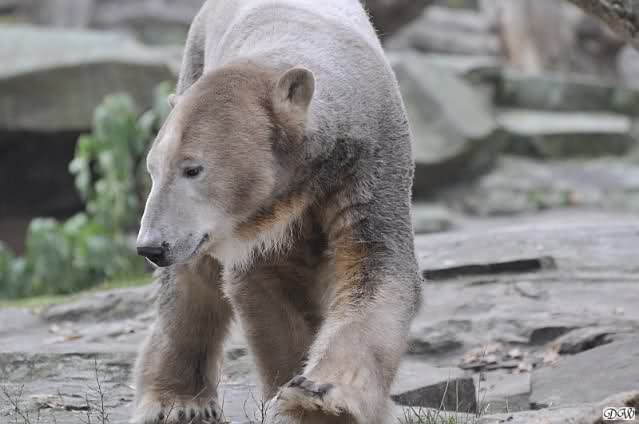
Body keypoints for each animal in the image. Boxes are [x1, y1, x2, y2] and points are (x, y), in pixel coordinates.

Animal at [132, 0, 422, 423]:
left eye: (193, 168)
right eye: (153, 169)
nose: (151, 245)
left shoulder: (370, 163)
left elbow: (375, 267)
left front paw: (319, 397)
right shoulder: (256, 227)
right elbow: (265, 285)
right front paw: (293, 397)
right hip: (191, 66)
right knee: (191, 278)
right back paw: (175, 401)